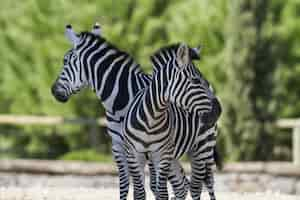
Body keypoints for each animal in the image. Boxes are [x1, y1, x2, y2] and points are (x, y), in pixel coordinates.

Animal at [51, 23, 202, 200]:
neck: (119, 103)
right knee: (181, 185)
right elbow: (124, 185)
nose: (53, 91)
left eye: (65, 61)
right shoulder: (119, 147)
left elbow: (152, 187)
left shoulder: (147, 148)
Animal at [123, 43, 221, 200]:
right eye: (195, 80)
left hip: (203, 148)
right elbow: (139, 193)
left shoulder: (162, 155)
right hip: (175, 156)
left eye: (204, 81)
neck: (151, 120)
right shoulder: (133, 154)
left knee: (200, 186)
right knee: (183, 186)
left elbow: (162, 192)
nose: (218, 111)